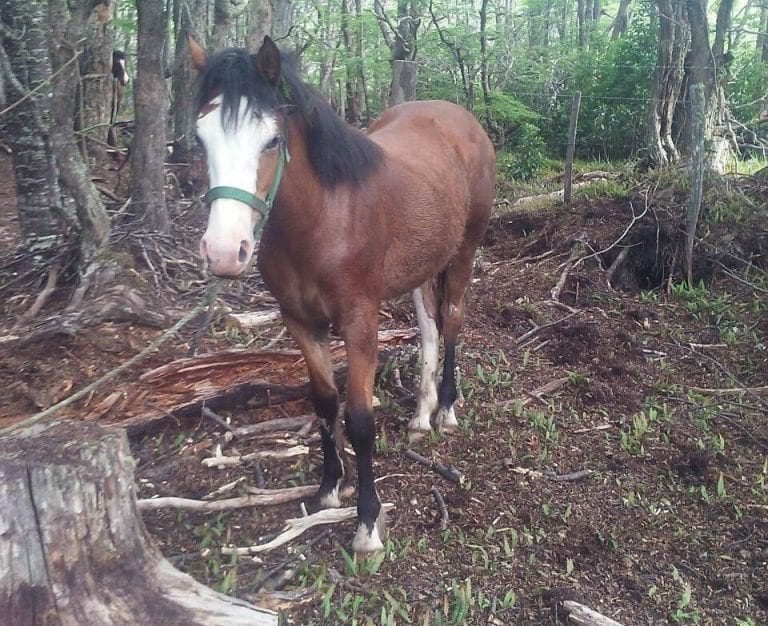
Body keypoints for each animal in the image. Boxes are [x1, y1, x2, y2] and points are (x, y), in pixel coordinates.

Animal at [189, 35, 496, 552]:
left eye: (272, 140)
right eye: (199, 138)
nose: (226, 252)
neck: (323, 219)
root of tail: (461, 119)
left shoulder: (359, 323)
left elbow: (359, 418)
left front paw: (367, 523)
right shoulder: (299, 321)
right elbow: (323, 402)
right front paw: (330, 486)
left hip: (463, 251)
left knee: (452, 320)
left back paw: (447, 409)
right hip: (422, 264)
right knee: (430, 331)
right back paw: (422, 413)